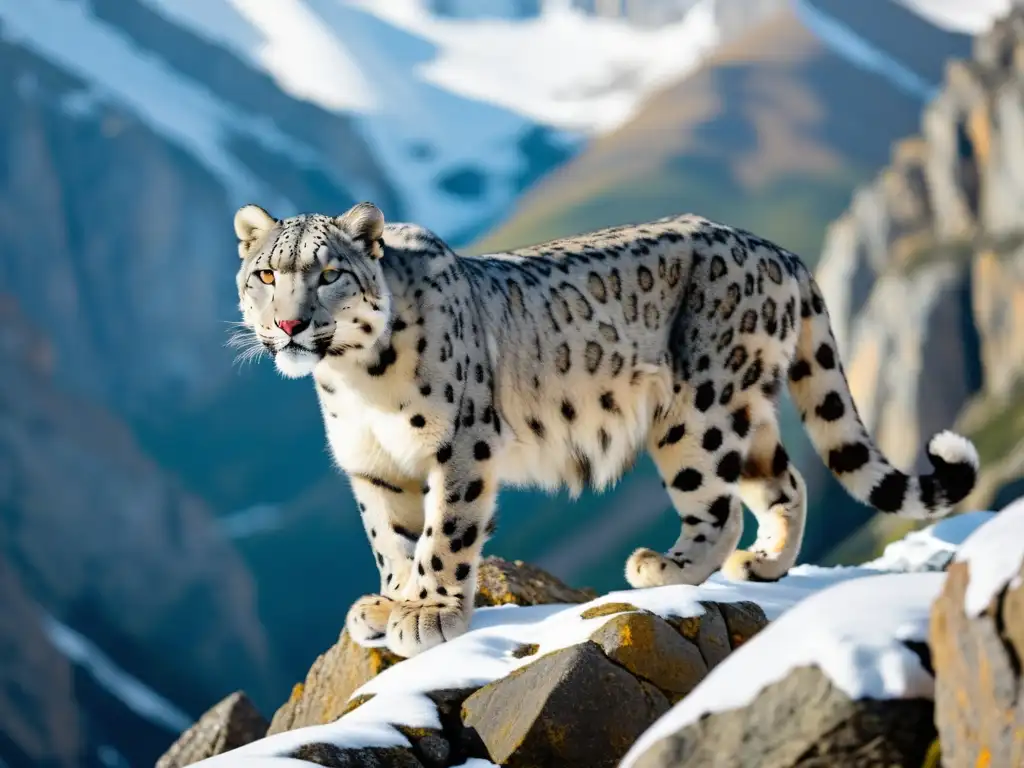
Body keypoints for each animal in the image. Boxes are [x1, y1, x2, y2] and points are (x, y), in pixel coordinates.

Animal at [230, 201, 974, 659]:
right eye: (264, 273)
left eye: (330, 272)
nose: (290, 323)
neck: (357, 384)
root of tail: (779, 252)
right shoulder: (373, 466)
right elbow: (392, 540)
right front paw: (390, 605)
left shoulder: (460, 443)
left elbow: (444, 534)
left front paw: (431, 609)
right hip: (748, 403)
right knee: (783, 478)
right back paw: (764, 563)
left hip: (698, 408)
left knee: (720, 500)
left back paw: (668, 565)